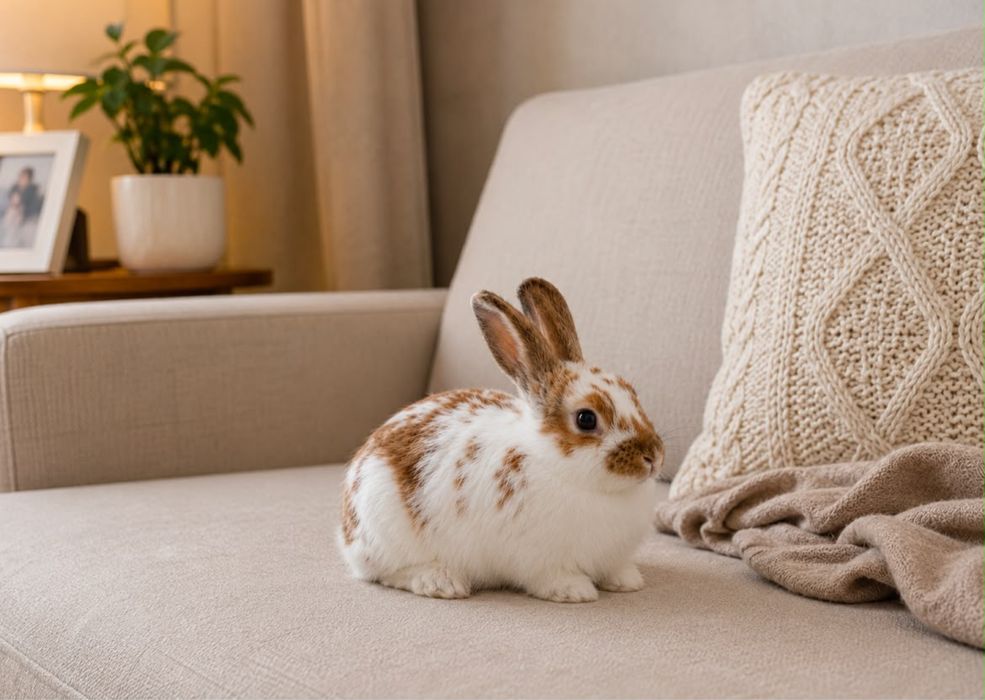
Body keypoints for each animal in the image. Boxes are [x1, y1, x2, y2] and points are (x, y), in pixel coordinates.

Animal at [338, 277, 663, 603]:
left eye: (631, 392)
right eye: (586, 419)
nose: (654, 457)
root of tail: (346, 532)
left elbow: (616, 570)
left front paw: (627, 582)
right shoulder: (538, 559)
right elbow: (550, 577)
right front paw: (575, 591)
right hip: (388, 533)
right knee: (386, 572)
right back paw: (441, 582)